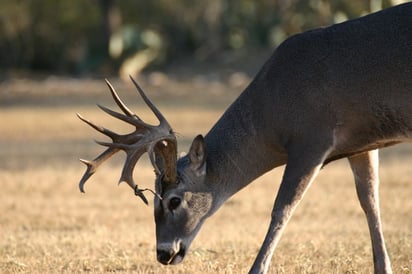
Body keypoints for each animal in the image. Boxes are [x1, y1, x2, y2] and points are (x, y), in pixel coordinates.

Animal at [78, 2, 412, 274]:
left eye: (174, 200)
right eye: (154, 198)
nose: (163, 254)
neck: (270, 112)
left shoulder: (312, 137)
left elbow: (282, 209)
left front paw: (257, 268)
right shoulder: (363, 143)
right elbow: (370, 202)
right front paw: (384, 268)